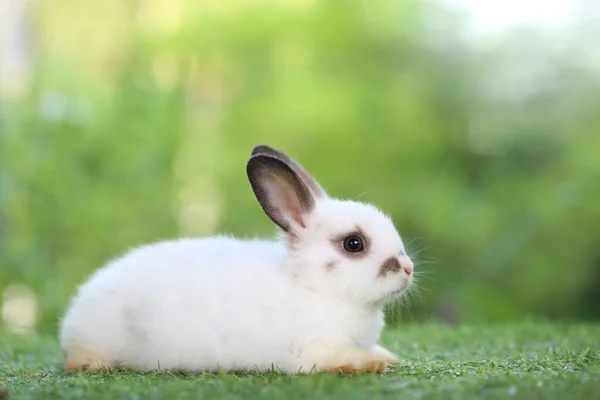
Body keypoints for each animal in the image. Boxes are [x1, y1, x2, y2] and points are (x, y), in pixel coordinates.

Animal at [58, 145, 414, 376]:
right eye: (354, 244)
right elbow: (342, 360)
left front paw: (389, 357)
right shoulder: (313, 351)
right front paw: (373, 363)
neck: (313, 286)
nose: (408, 269)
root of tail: (74, 315)